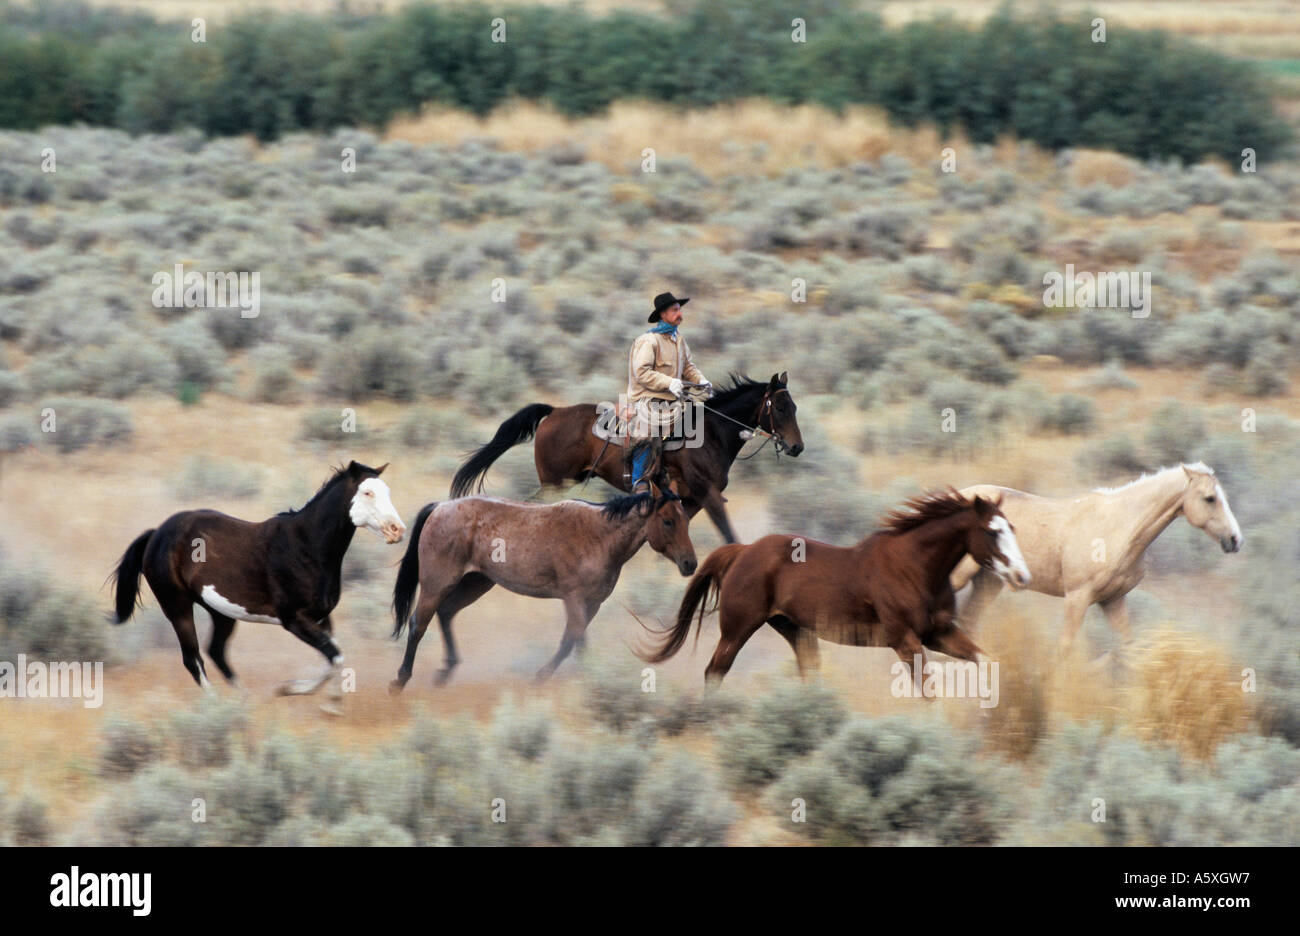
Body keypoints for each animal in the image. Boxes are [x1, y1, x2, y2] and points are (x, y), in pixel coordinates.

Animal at [112, 457, 405, 707]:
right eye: (367, 492)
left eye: (388, 492)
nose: (398, 530)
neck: (306, 547)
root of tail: (156, 534)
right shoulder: (294, 619)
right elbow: (335, 656)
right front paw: (314, 699)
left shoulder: (321, 617)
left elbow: (333, 657)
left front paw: (303, 694)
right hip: (177, 606)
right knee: (193, 658)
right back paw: (216, 706)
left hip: (220, 612)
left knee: (215, 651)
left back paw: (244, 700)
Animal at [384, 483, 696, 686]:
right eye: (667, 521)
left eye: (686, 519)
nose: (690, 564)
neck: (599, 536)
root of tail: (440, 507)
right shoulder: (574, 598)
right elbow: (572, 640)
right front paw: (549, 676)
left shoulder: (593, 603)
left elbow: (575, 640)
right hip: (437, 583)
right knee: (418, 622)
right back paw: (401, 678)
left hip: (476, 582)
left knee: (446, 613)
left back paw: (446, 671)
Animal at [452, 374, 806, 540]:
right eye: (780, 407)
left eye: (794, 406)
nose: (797, 447)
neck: (711, 434)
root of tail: (554, 412)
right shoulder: (707, 494)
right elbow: (729, 535)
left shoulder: (689, 500)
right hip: (554, 483)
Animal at [639, 488, 1024, 686]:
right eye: (992, 531)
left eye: (1012, 527)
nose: (1021, 576)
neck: (914, 567)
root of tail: (742, 551)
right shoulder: (905, 641)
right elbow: (926, 688)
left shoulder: (939, 633)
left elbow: (985, 660)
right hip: (738, 628)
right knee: (714, 671)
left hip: (794, 630)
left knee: (807, 672)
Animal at [951, 457, 1242, 650]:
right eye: (1209, 498)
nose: (1235, 539)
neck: (1117, 528)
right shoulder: (1077, 598)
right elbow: (1065, 647)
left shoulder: (1113, 601)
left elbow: (1128, 647)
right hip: (959, 577)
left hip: (987, 583)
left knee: (967, 622)